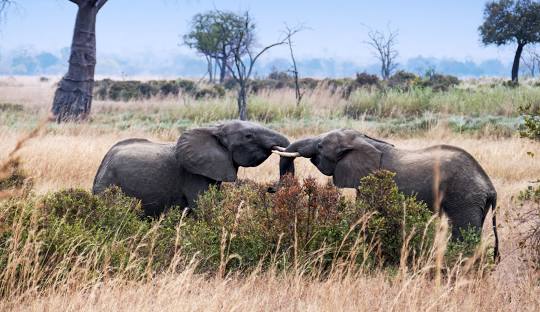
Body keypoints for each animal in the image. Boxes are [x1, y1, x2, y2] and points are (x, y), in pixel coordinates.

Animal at [93, 120, 288, 217]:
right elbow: (204, 208)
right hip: (109, 183)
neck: (213, 129)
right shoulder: (193, 175)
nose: (270, 188)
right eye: (248, 136)